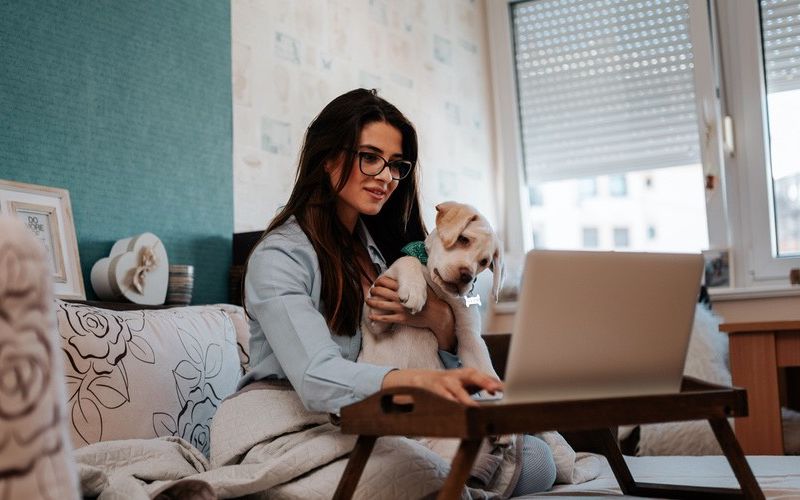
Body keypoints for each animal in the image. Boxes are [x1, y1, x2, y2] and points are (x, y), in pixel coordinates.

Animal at [360, 199, 504, 378]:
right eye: (463, 239)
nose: (467, 276)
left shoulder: (470, 338)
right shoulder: (375, 316)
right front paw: (414, 290)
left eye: (484, 262)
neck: (440, 290)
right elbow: (408, 259)